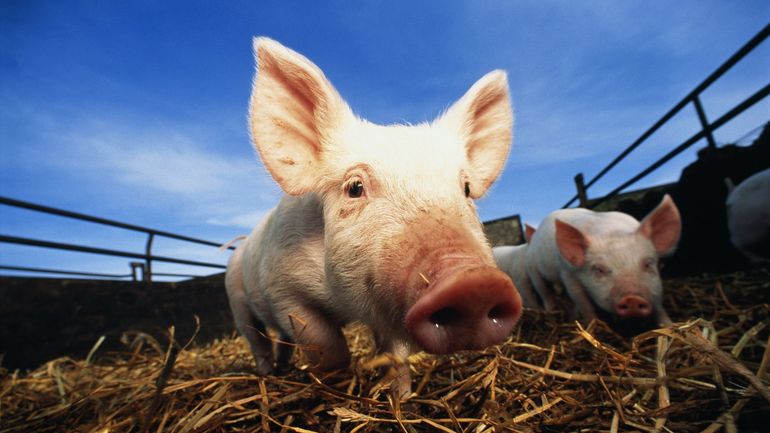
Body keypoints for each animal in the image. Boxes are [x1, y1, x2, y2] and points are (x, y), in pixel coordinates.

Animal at [225, 37, 522, 399]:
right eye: (355, 187)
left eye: (465, 188)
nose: (474, 281)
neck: (345, 307)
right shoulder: (282, 288)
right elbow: (327, 345)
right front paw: (335, 378)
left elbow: (396, 353)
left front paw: (399, 396)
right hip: (237, 301)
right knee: (257, 340)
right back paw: (269, 374)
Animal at [524, 195, 681, 327]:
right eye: (599, 269)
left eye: (648, 264)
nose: (632, 299)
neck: (610, 232)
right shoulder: (567, 273)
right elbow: (584, 304)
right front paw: (594, 327)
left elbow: (658, 305)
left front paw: (669, 326)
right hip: (533, 270)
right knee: (545, 293)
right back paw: (551, 314)